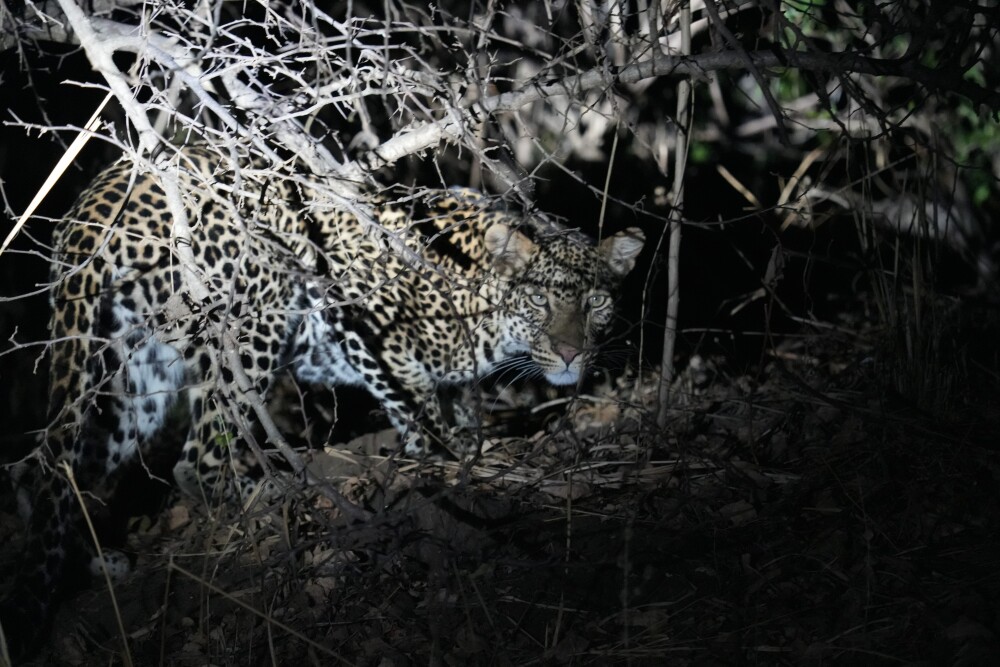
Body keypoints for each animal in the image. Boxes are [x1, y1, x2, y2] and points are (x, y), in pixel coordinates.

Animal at [0, 146, 644, 653]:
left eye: (595, 303)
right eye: (540, 301)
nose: (571, 354)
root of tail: (97, 201)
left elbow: (460, 409)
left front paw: (468, 450)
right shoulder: (365, 319)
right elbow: (413, 406)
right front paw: (432, 468)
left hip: (132, 372)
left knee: (46, 467)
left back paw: (96, 562)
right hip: (262, 304)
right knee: (197, 457)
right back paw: (266, 502)